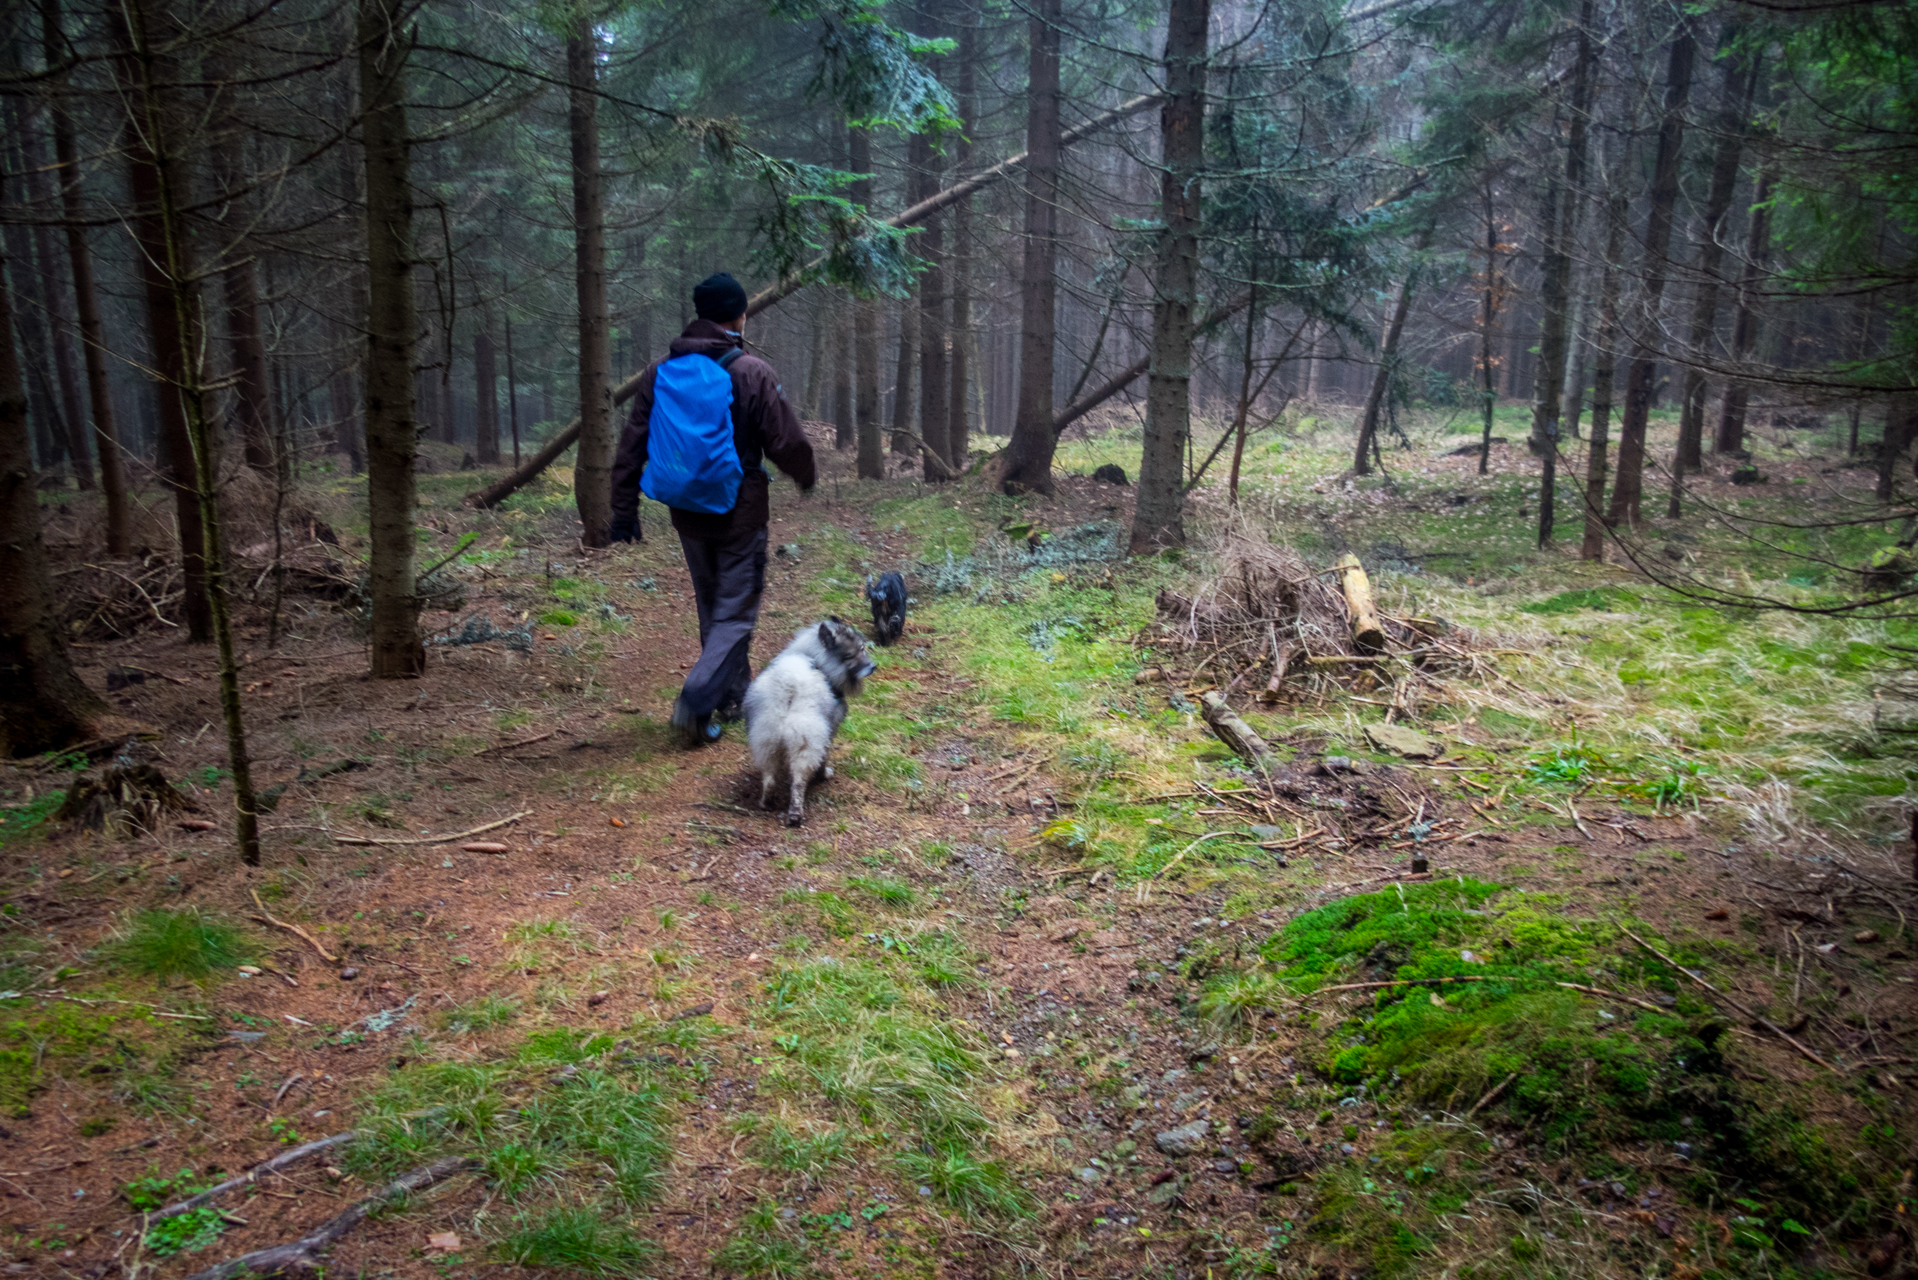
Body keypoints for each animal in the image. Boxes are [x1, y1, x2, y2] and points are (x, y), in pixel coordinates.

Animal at [740, 621, 878, 832]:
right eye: (858, 651)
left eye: (863, 648)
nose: (873, 666)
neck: (817, 660)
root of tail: (788, 686)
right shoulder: (829, 730)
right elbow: (825, 756)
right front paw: (823, 775)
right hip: (805, 743)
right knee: (798, 782)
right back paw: (796, 814)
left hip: (765, 741)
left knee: (769, 778)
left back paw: (766, 802)